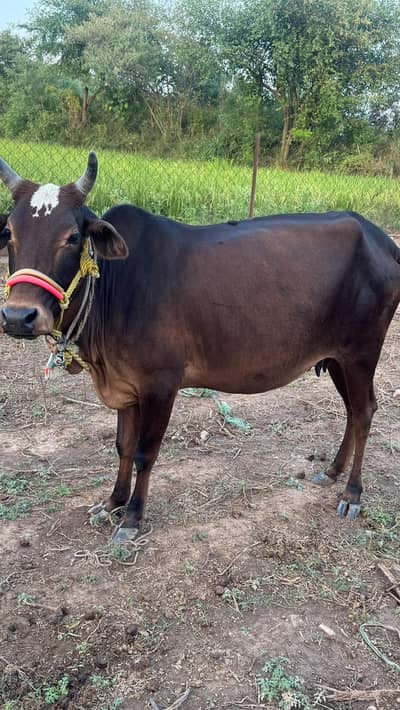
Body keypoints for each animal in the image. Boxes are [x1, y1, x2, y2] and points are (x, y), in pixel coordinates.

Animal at [0, 153, 399, 543]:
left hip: (361, 353)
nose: (18, 316)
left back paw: (352, 493)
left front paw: (132, 518)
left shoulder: (161, 384)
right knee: (352, 412)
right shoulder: (125, 385)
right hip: (337, 358)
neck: (115, 287)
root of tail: (379, 237)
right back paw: (331, 471)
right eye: (9, 233)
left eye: (71, 237)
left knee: (365, 411)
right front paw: (112, 502)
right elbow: (123, 446)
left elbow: (145, 452)